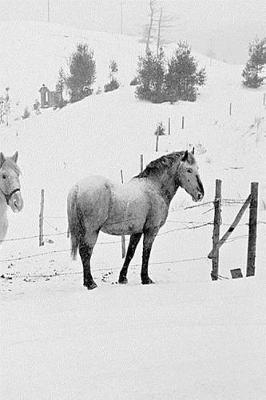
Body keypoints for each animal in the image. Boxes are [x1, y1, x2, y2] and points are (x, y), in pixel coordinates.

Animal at [68, 149, 204, 288]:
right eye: (189, 170)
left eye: (197, 168)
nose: (200, 194)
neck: (155, 187)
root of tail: (77, 188)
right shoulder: (151, 230)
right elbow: (146, 253)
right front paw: (146, 279)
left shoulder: (137, 231)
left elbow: (130, 253)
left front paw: (122, 278)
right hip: (92, 231)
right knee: (86, 252)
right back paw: (90, 283)